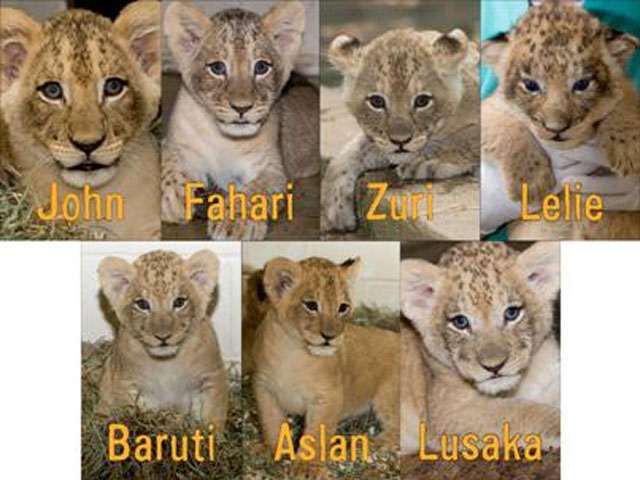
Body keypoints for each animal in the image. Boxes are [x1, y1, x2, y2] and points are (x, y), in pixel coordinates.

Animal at [97, 249, 228, 432]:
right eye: (142, 304)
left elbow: (213, 416)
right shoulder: (124, 382)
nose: (163, 337)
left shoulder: (212, 376)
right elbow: (127, 414)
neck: (166, 363)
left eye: (179, 302)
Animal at [161, 0, 319, 240]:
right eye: (217, 68)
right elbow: (166, 160)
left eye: (261, 67)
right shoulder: (174, 143)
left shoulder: (273, 169)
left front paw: (234, 223)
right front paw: (171, 196)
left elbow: (254, 192)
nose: (242, 108)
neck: (223, 139)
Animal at [250, 256, 399, 478]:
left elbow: (315, 434)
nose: (330, 336)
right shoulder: (263, 388)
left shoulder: (328, 397)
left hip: (388, 396)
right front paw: (272, 450)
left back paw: (363, 446)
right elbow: (270, 423)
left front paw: (307, 468)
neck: (293, 352)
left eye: (342, 307)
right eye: (311, 305)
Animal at [322, 27, 479, 233]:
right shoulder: (378, 140)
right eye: (376, 101)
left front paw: (423, 162)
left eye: (422, 101)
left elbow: (466, 138)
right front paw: (334, 208)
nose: (400, 141)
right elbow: (348, 155)